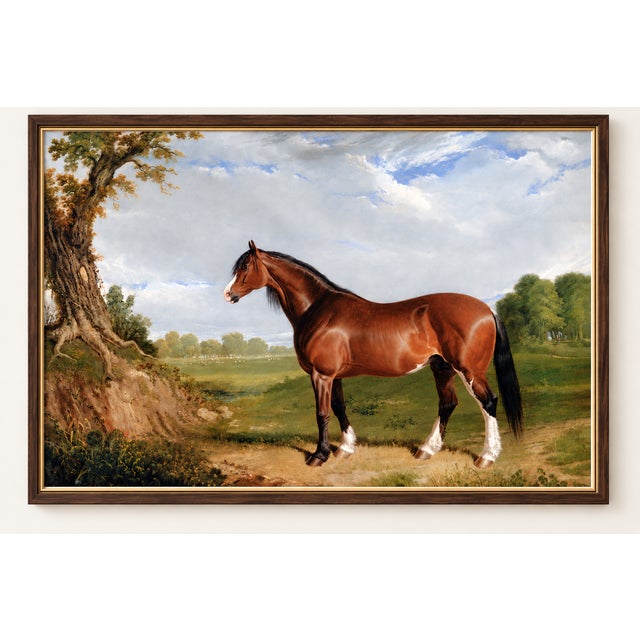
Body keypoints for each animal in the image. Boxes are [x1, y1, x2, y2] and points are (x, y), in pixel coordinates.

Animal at [224, 241, 523, 468]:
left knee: (488, 403)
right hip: (442, 367)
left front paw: (319, 456)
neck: (317, 309)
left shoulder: (321, 375)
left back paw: (486, 457)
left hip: (469, 370)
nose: (227, 294)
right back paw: (426, 450)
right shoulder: (334, 376)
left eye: (245, 267)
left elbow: (322, 413)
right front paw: (345, 448)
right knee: (448, 404)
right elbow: (339, 407)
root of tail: (487, 309)